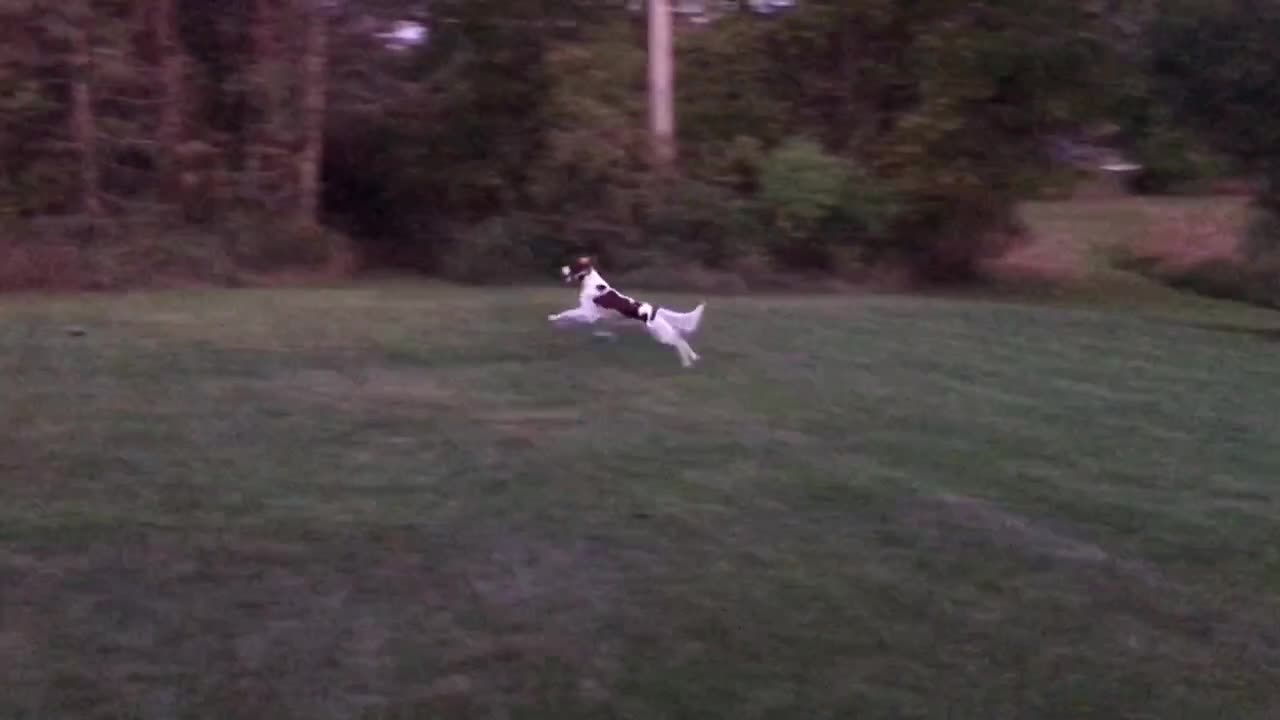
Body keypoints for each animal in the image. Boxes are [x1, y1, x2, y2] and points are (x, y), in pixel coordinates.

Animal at [545, 253, 706, 363]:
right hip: (659, 333)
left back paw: (688, 361)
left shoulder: (588, 313)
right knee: (679, 339)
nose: (561, 268)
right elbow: (602, 331)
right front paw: (606, 337)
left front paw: (554, 318)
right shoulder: (599, 318)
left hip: (662, 333)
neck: (592, 283)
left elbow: (567, 313)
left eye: (572, 265)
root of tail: (654, 309)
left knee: (679, 341)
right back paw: (693, 357)